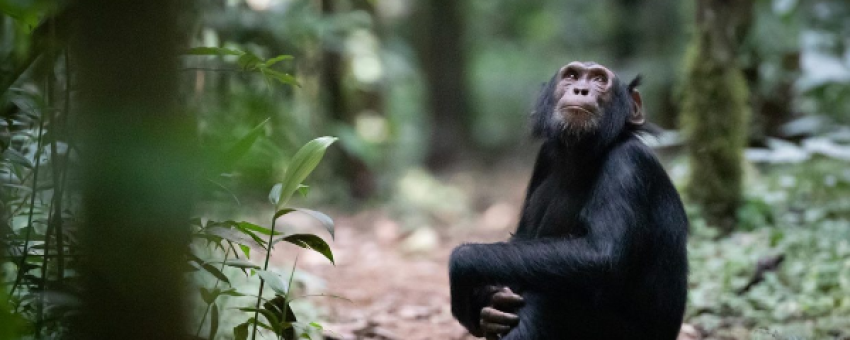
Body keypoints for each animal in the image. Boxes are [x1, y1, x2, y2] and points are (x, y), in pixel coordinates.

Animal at [448, 61, 684, 340]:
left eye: (599, 80)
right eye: (571, 75)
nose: (581, 89)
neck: (583, 154)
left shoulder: (628, 163)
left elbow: (602, 255)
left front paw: (464, 268)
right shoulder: (545, 156)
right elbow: (522, 238)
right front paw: (488, 303)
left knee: (550, 293)